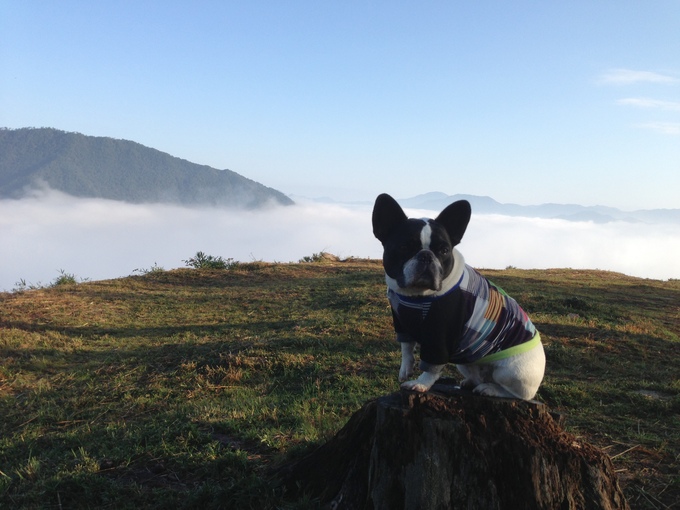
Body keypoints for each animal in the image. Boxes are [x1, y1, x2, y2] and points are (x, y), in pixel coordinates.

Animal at [374, 193, 544, 400]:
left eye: (444, 250)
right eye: (404, 247)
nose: (426, 256)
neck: (416, 296)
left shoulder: (439, 336)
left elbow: (431, 366)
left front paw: (421, 384)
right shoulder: (401, 323)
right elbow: (406, 347)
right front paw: (405, 369)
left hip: (511, 372)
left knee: (517, 394)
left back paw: (490, 389)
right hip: (464, 362)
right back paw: (470, 382)